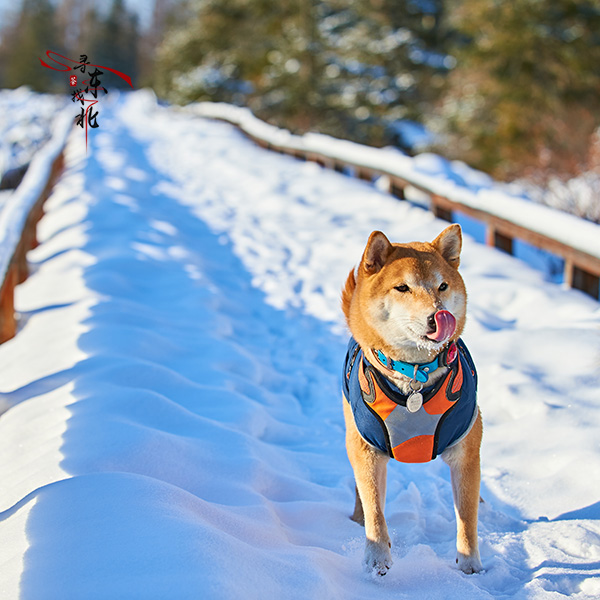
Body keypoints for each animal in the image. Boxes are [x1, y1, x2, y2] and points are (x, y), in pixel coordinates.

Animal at [342, 224, 482, 576]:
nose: (438, 316)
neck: (415, 376)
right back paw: (355, 518)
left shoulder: (465, 450)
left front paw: (470, 565)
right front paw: (377, 557)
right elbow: (375, 509)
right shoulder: (366, 448)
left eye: (442, 286)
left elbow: (467, 515)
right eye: (402, 287)